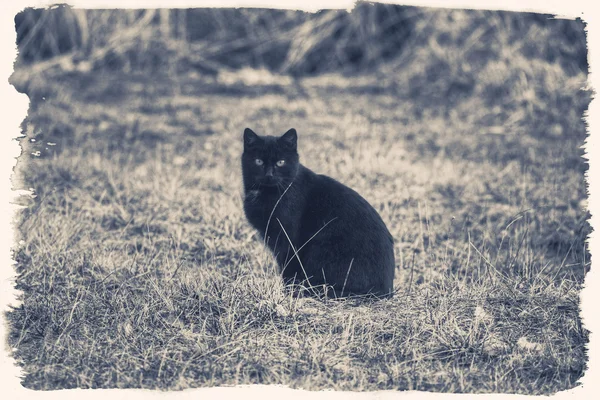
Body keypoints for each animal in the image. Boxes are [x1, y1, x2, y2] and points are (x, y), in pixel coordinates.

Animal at [241, 128, 396, 296]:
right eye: (258, 161)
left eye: (281, 162)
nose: (269, 175)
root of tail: (385, 290)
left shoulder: (288, 240)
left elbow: (289, 269)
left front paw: (288, 292)